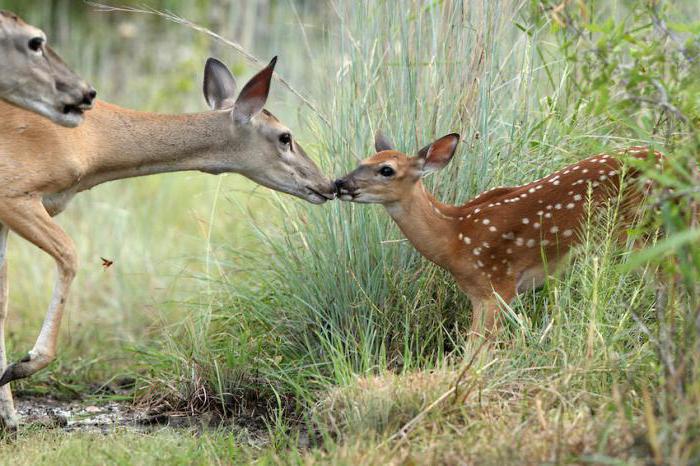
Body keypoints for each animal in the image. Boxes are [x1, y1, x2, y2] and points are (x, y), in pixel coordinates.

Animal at [0, 56, 336, 428]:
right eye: (284, 136)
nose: (328, 184)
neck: (91, 141)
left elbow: (2, 300)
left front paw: (10, 416)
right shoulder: (13, 194)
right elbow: (69, 255)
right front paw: (21, 367)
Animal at [336, 133, 660, 336]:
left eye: (386, 170)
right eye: (362, 161)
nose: (340, 183)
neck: (454, 237)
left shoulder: (498, 285)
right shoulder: (478, 295)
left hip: (641, 234)